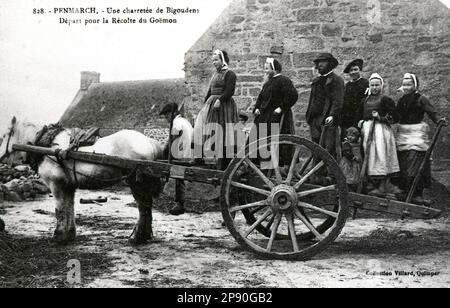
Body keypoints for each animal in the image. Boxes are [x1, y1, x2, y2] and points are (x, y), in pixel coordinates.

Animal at [0, 117, 165, 245]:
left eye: (4, 135)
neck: (48, 147)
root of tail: (149, 141)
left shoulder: (56, 184)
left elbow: (60, 209)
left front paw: (58, 236)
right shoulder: (67, 185)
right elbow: (69, 207)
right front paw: (69, 234)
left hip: (137, 182)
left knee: (143, 208)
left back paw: (137, 237)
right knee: (146, 207)